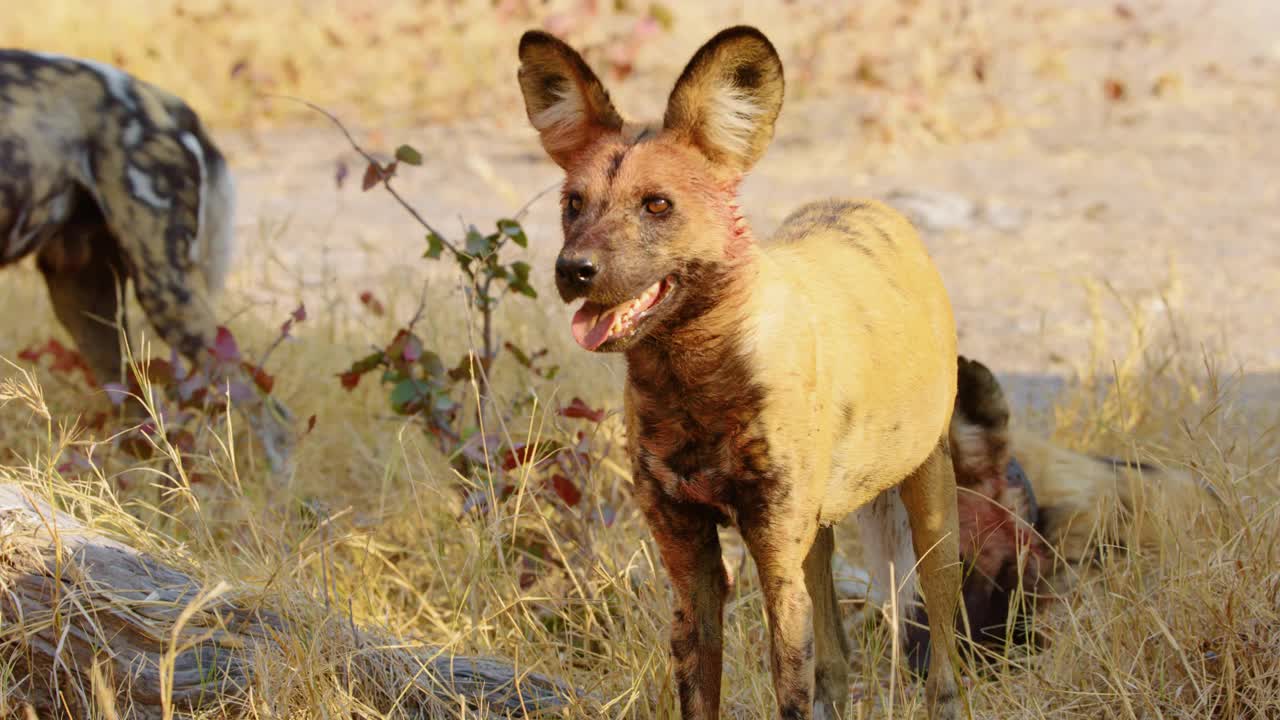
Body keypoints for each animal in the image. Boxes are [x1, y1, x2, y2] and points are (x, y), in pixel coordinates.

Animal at [517, 26, 962, 717]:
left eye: (657, 205)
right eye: (573, 204)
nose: (574, 270)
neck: (692, 384)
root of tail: (873, 207)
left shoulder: (775, 562)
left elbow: (792, 689)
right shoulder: (692, 571)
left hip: (929, 508)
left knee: (943, 655)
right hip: (817, 536)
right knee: (835, 663)